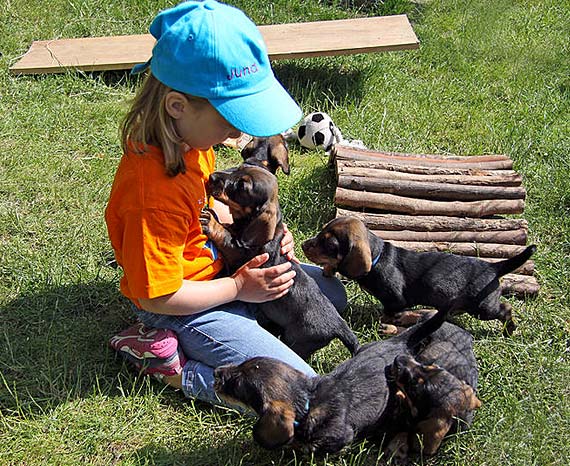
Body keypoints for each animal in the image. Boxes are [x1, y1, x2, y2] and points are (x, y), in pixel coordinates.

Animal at [300, 215, 536, 334]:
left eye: (329, 244)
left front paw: (395, 323)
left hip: (482, 308)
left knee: (505, 309)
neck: (378, 258)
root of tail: (493, 268)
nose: (302, 245)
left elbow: (390, 314)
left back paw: (509, 329)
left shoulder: (395, 300)